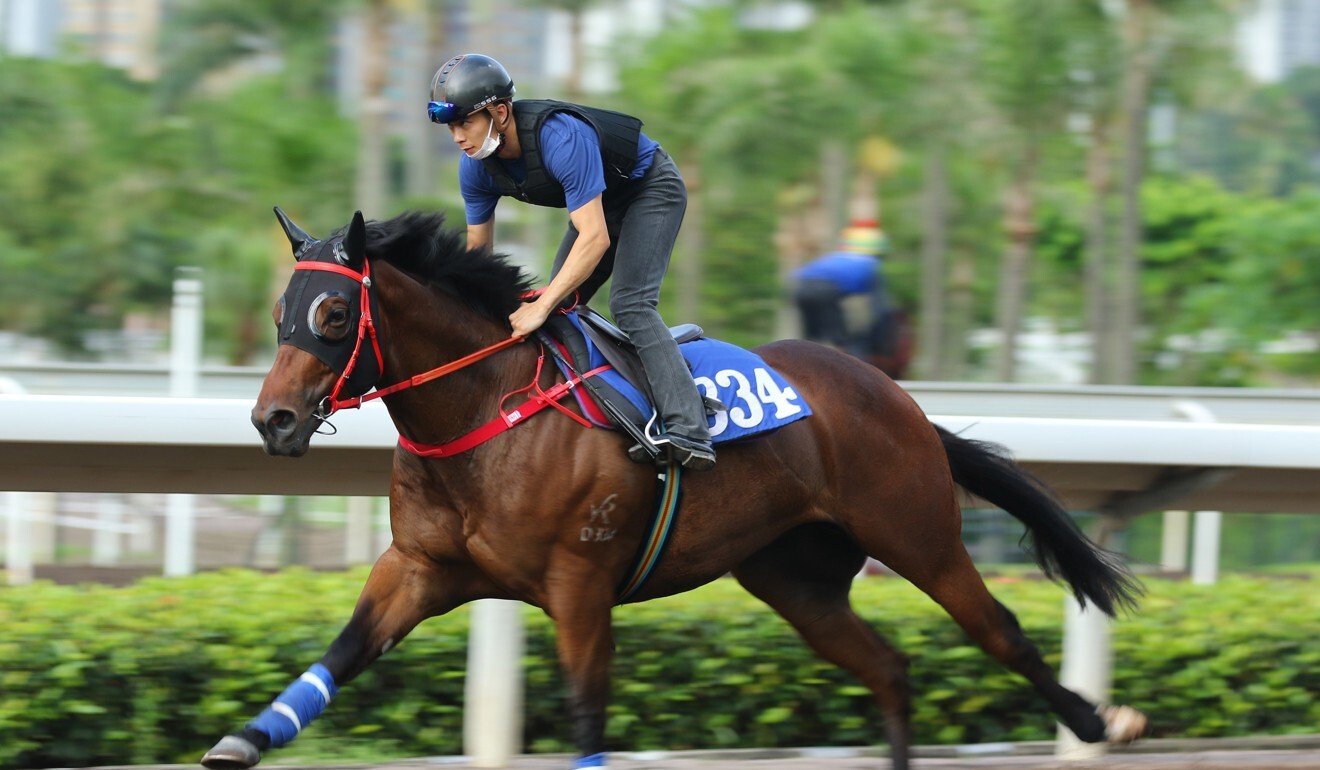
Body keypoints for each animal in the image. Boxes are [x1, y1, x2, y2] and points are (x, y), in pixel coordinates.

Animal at [203, 211, 1145, 770]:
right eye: (281, 311)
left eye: (332, 316)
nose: (273, 419)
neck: (485, 411)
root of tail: (894, 394)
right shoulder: (420, 568)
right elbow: (340, 654)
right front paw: (241, 741)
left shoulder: (579, 584)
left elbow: (587, 713)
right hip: (795, 578)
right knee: (889, 667)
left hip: (916, 532)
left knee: (1000, 632)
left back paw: (1103, 722)